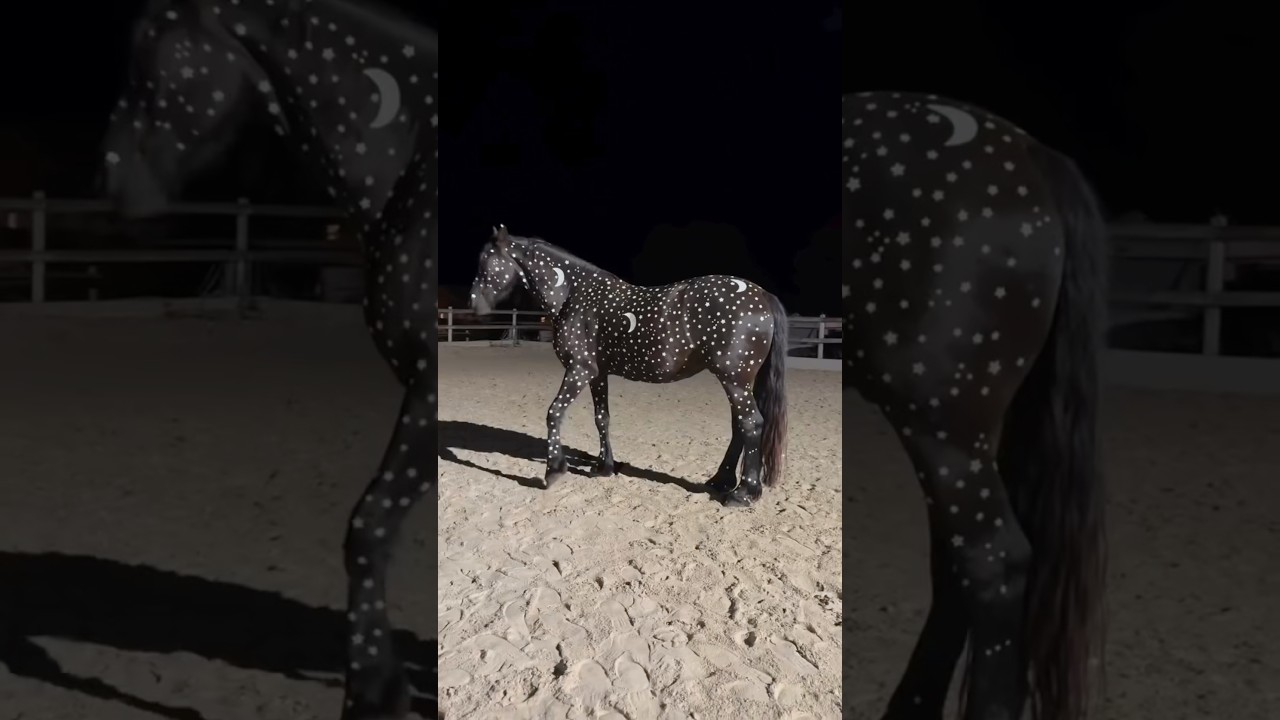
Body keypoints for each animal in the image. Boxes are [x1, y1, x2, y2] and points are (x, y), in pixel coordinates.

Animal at [469, 226, 789, 507]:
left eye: (486, 260)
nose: (475, 307)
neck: (573, 293)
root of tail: (762, 295)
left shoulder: (579, 370)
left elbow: (554, 413)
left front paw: (554, 471)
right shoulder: (598, 374)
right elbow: (602, 418)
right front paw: (604, 467)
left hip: (734, 380)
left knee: (751, 424)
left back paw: (743, 494)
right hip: (738, 381)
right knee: (739, 427)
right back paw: (721, 481)